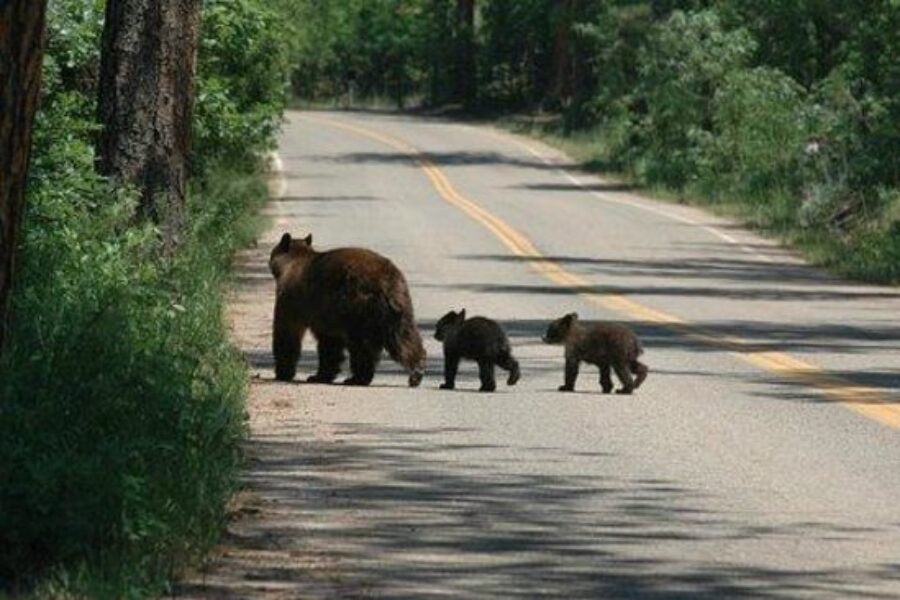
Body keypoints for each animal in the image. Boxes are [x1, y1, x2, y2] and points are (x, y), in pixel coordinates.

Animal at [269, 232, 426, 387]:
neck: (290, 264)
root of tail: (386, 281)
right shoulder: (325, 313)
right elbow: (330, 342)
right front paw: (321, 375)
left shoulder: (292, 300)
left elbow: (287, 332)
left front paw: (284, 373)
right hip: (398, 308)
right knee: (404, 337)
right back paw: (417, 371)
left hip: (358, 307)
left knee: (361, 345)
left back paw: (357, 378)